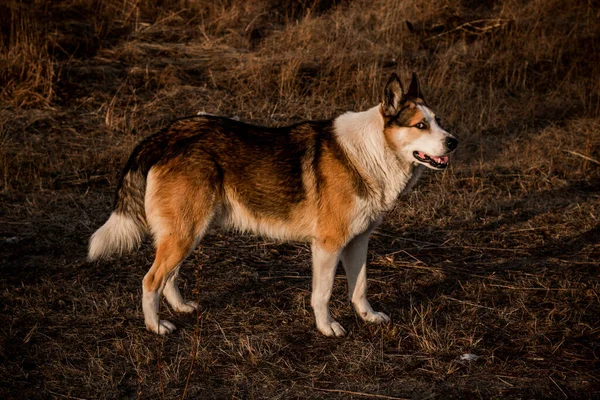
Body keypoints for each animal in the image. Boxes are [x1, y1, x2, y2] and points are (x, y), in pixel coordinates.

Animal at [88, 73, 454, 336]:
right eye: (420, 125)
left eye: (439, 121)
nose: (455, 141)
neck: (372, 152)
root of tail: (167, 134)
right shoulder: (327, 245)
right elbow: (322, 294)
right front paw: (327, 328)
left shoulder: (358, 242)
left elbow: (359, 287)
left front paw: (369, 317)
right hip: (184, 233)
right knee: (151, 280)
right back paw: (156, 327)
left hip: (187, 233)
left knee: (168, 278)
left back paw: (180, 308)